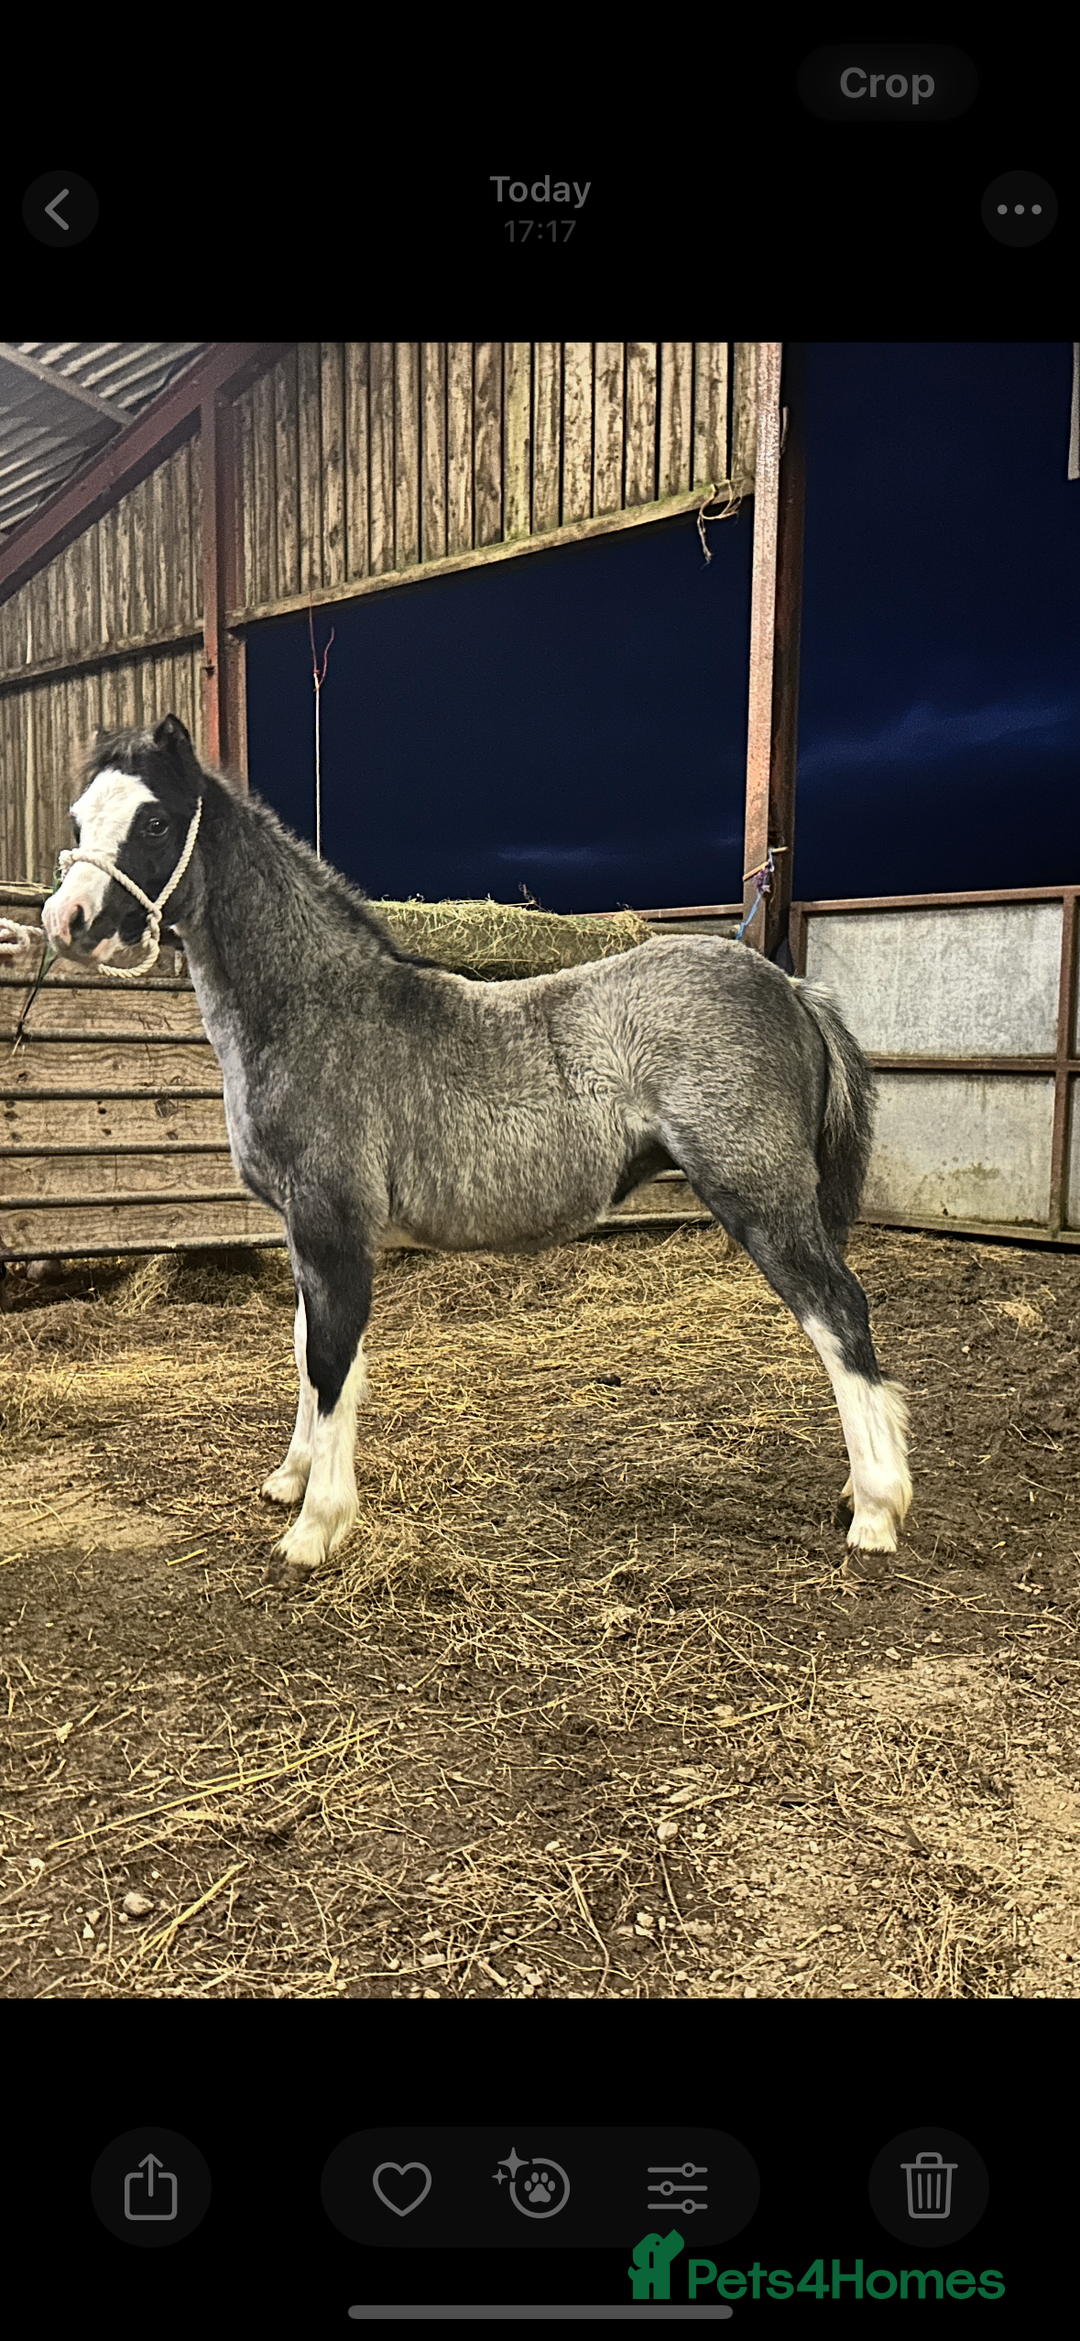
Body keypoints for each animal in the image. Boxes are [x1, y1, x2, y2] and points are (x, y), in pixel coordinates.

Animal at [39, 715, 911, 1575]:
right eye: (77, 820)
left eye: (154, 821)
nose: (64, 922)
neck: (313, 1010)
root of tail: (790, 986)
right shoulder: (306, 1231)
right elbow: (309, 1351)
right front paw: (290, 1480)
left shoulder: (332, 1226)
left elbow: (331, 1362)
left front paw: (315, 1528)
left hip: (761, 1196)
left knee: (838, 1313)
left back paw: (875, 1509)